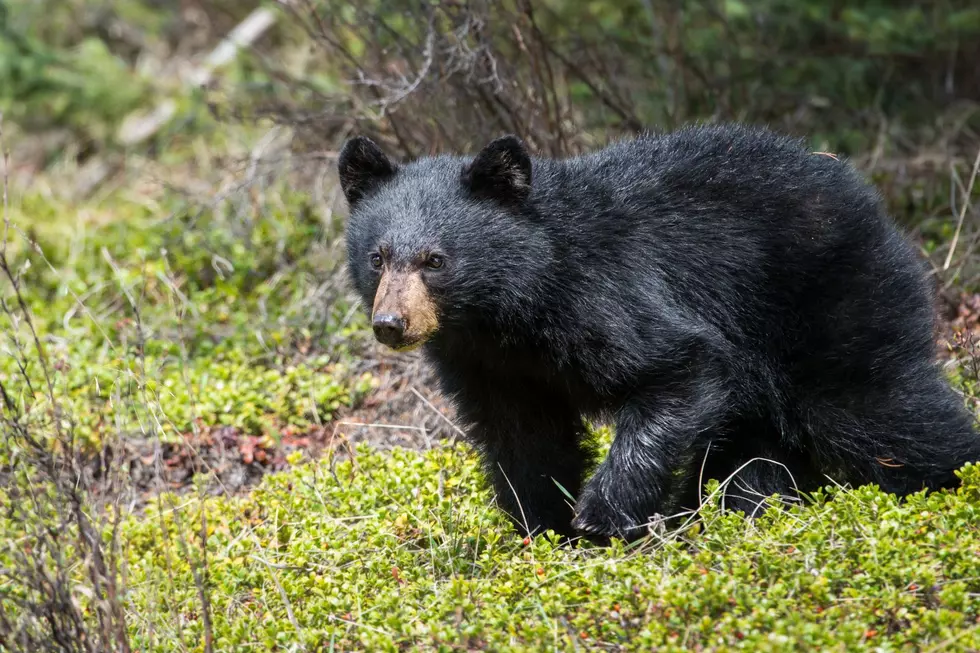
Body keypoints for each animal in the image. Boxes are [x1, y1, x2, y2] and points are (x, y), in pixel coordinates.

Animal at [336, 123, 980, 540]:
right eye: (378, 257)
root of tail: (867, 198)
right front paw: (542, 526)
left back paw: (953, 482)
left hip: (828, 298)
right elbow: (523, 436)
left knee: (876, 409)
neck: (508, 308)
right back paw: (750, 510)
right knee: (758, 448)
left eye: (435, 261)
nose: (392, 324)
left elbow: (679, 367)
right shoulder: (488, 362)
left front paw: (601, 515)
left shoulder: (603, 295)